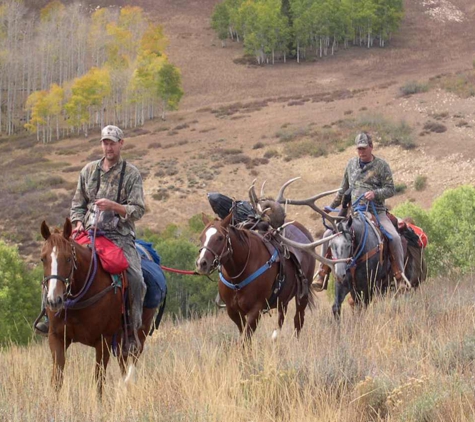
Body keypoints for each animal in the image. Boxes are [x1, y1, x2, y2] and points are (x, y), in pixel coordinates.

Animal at [41, 218, 160, 396]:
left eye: (68, 258)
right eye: (43, 259)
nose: (54, 300)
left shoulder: (103, 341)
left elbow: (99, 380)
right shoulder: (56, 337)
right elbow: (57, 379)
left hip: (139, 332)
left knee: (132, 361)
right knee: (123, 363)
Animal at [195, 213, 318, 342]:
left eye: (220, 238)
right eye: (201, 237)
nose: (201, 263)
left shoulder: (255, 310)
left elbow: (246, 338)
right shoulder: (233, 311)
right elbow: (244, 335)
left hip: (302, 296)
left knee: (298, 319)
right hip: (283, 300)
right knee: (281, 317)